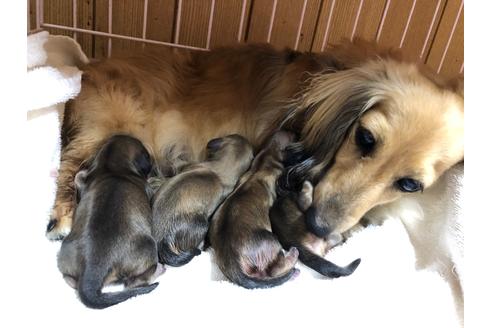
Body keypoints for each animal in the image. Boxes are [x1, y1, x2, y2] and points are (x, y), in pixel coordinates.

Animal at [47, 41, 466, 243]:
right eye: (364, 137)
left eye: (409, 184)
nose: (317, 226)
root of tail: (87, 67)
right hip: (107, 130)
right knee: (71, 170)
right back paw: (63, 219)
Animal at [55, 135, 163, 308]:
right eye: (147, 155)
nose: (152, 162)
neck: (112, 167)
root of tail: (93, 270)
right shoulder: (147, 189)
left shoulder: (82, 177)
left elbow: (79, 177)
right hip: (148, 247)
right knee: (134, 283)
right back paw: (159, 269)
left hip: (65, 252)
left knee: (69, 279)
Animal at [209, 131, 300, 290]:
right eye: (294, 138)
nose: (297, 133)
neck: (268, 154)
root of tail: (233, 261)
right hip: (271, 240)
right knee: (274, 269)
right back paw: (293, 259)